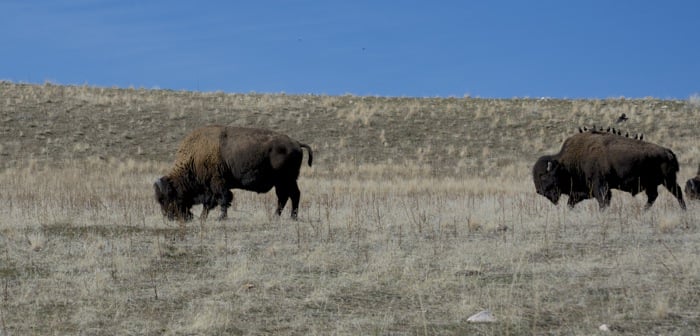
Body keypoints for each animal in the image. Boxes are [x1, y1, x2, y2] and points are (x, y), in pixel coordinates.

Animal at [157, 124, 316, 222]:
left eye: (168, 197)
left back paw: (290, 217)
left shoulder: (217, 183)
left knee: (291, 195)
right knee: (286, 196)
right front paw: (203, 217)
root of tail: (296, 143)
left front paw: (221, 218)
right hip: (284, 182)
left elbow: (223, 199)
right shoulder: (211, 188)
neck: (194, 157)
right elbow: (210, 203)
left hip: (286, 180)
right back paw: (278, 216)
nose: (169, 216)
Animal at [532, 131, 688, 210]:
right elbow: (571, 202)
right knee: (653, 196)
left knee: (677, 193)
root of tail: (667, 151)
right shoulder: (582, 191)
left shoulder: (600, 186)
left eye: (544, 176)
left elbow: (603, 201)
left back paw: (683, 209)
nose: (539, 191)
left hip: (668, 180)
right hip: (653, 183)